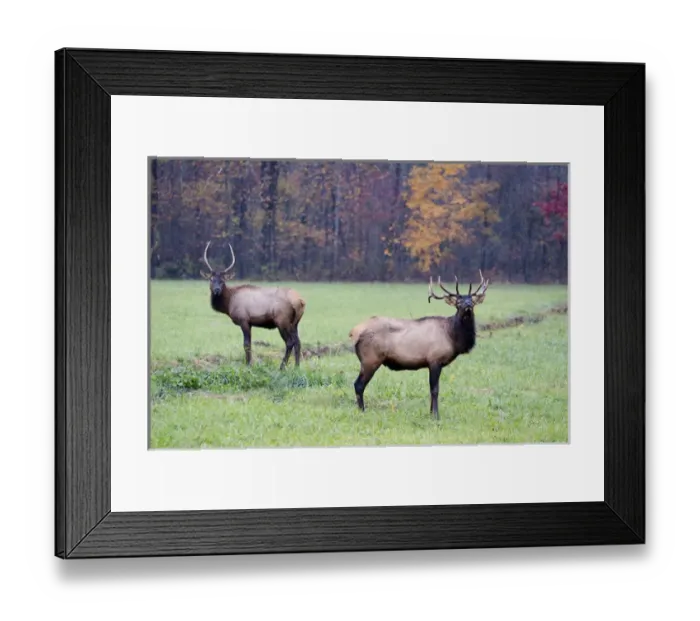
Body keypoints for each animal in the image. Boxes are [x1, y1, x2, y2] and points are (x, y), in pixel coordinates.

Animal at [200, 241, 307, 369]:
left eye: (223, 281)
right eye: (211, 279)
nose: (216, 290)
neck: (229, 302)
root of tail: (300, 301)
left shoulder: (244, 320)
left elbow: (246, 344)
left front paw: (248, 365)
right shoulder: (250, 323)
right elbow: (250, 344)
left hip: (282, 320)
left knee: (290, 342)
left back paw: (282, 367)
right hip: (295, 323)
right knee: (298, 342)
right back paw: (297, 366)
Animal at [348, 271, 490, 420]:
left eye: (472, 301)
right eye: (458, 302)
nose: (468, 304)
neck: (452, 336)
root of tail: (353, 332)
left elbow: (432, 389)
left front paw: (430, 412)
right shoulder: (435, 360)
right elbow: (435, 390)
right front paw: (436, 415)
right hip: (370, 360)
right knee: (358, 384)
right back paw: (362, 410)